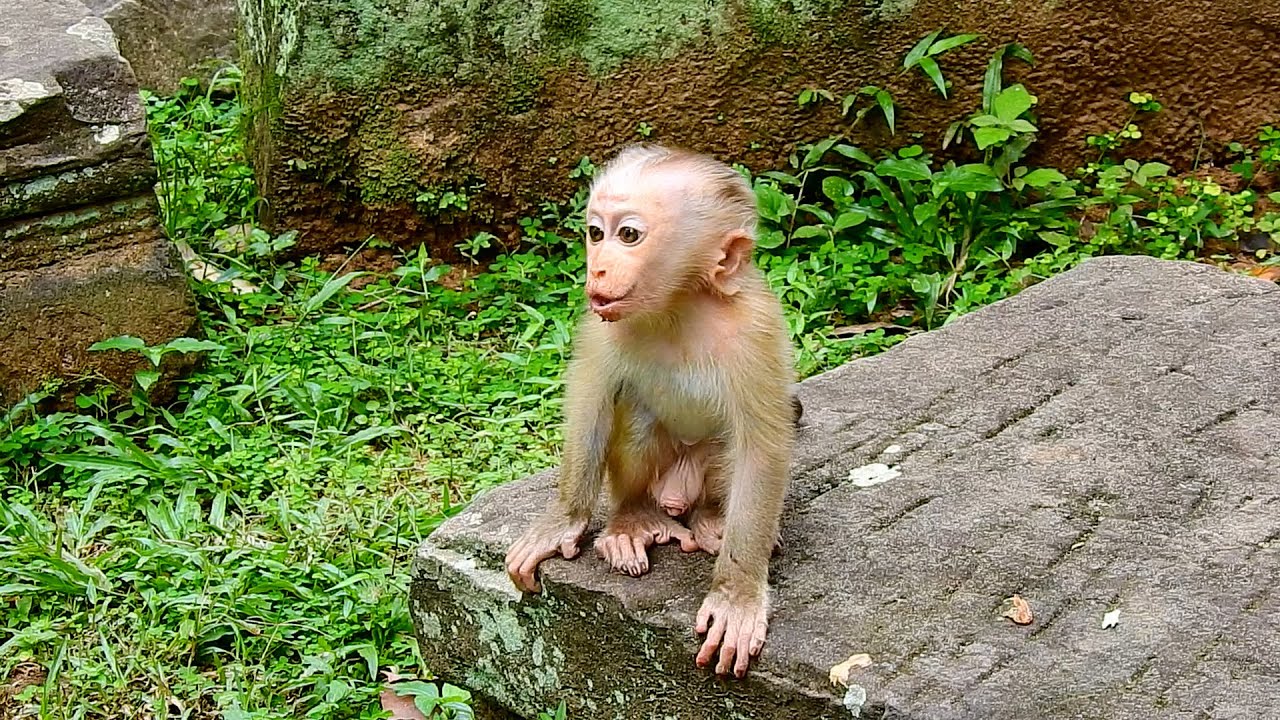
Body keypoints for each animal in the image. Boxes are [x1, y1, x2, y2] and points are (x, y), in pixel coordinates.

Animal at [504, 143, 798, 678]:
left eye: (629, 235)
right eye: (595, 233)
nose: (597, 268)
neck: (678, 307)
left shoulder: (756, 329)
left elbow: (763, 446)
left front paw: (736, 594)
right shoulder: (601, 323)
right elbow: (590, 404)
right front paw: (563, 520)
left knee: (728, 448)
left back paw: (711, 520)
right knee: (637, 417)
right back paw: (633, 520)